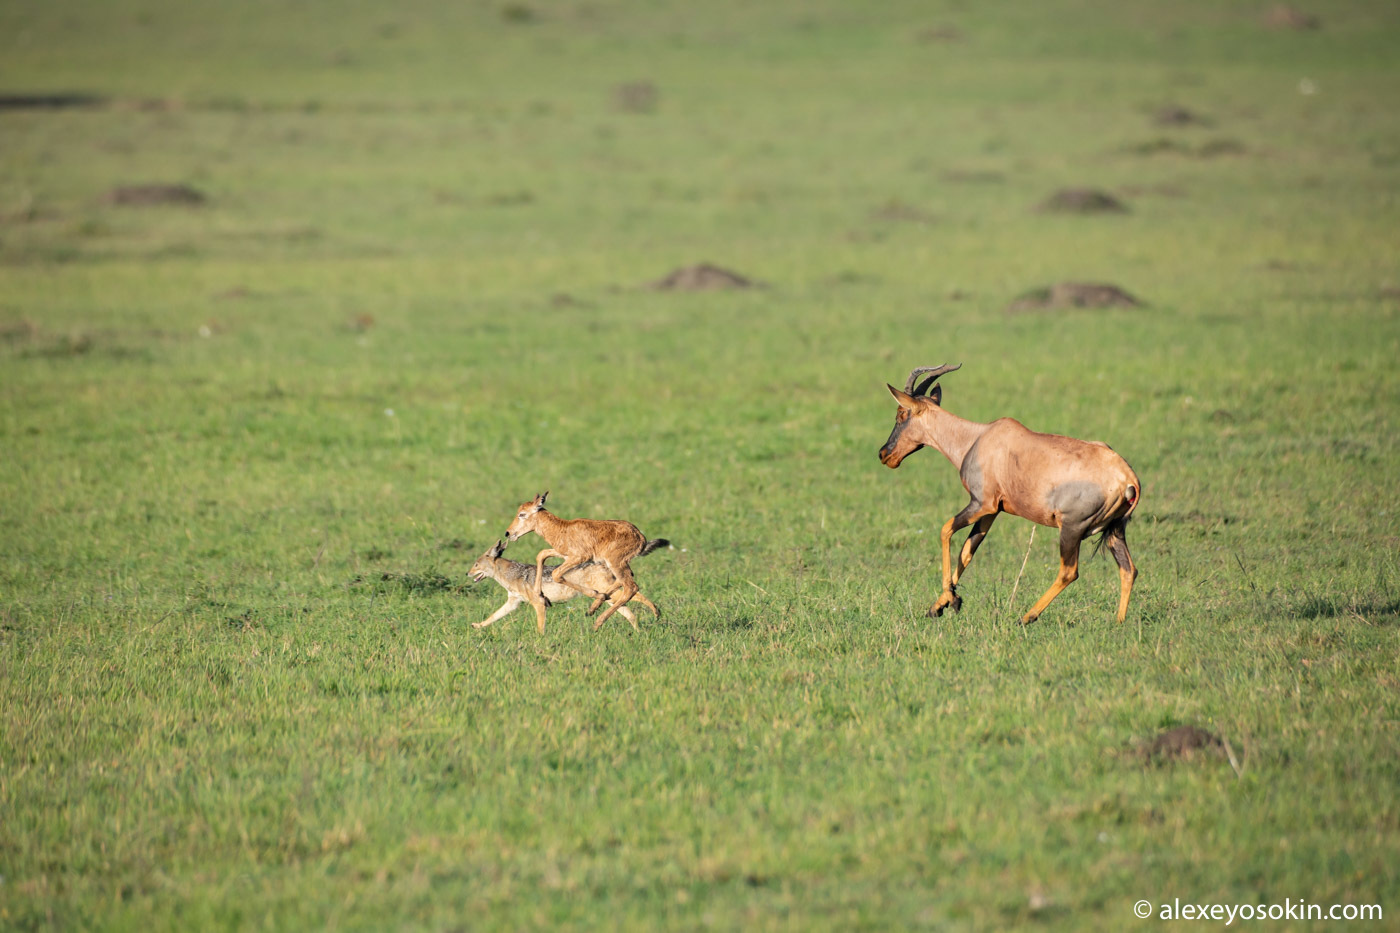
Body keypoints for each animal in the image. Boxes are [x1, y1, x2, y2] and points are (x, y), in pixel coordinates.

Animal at [467, 537, 669, 633]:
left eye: (475, 564)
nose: (466, 573)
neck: (511, 575)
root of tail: (604, 562)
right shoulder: (513, 603)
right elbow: (493, 617)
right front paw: (477, 626)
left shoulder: (539, 604)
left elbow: (540, 628)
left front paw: (540, 641)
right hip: (610, 598)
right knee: (630, 613)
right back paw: (639, 632)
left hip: (609, 593)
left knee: (636, 592)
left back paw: (656, 612)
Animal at [501, 490, 663, 627]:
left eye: (522, 514)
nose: (508, 533)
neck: (562, 528)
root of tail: (640, 537)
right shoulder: (563, 555)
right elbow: (542, 554)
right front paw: (539, 594)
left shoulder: (579, 557)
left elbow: (556, 573)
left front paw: (594, 594)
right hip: (617, 564)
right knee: (624, 581)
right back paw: (596, 606)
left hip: (615, 563)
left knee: (631, 587)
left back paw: (598, 621)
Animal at [879, 364, 1142, 624]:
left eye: (901, 413)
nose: (883, 454)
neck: (977, 438)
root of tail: (1127, 477)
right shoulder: (991, 512)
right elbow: (967, 551)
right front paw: (940, 606)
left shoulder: (981, 504)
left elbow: (946, 530)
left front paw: (951, 601)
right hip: (1115, 530)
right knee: (1129, 569)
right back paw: (1118, 622)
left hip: (1072, 528)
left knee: (1069, 572)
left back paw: (1026, 618)